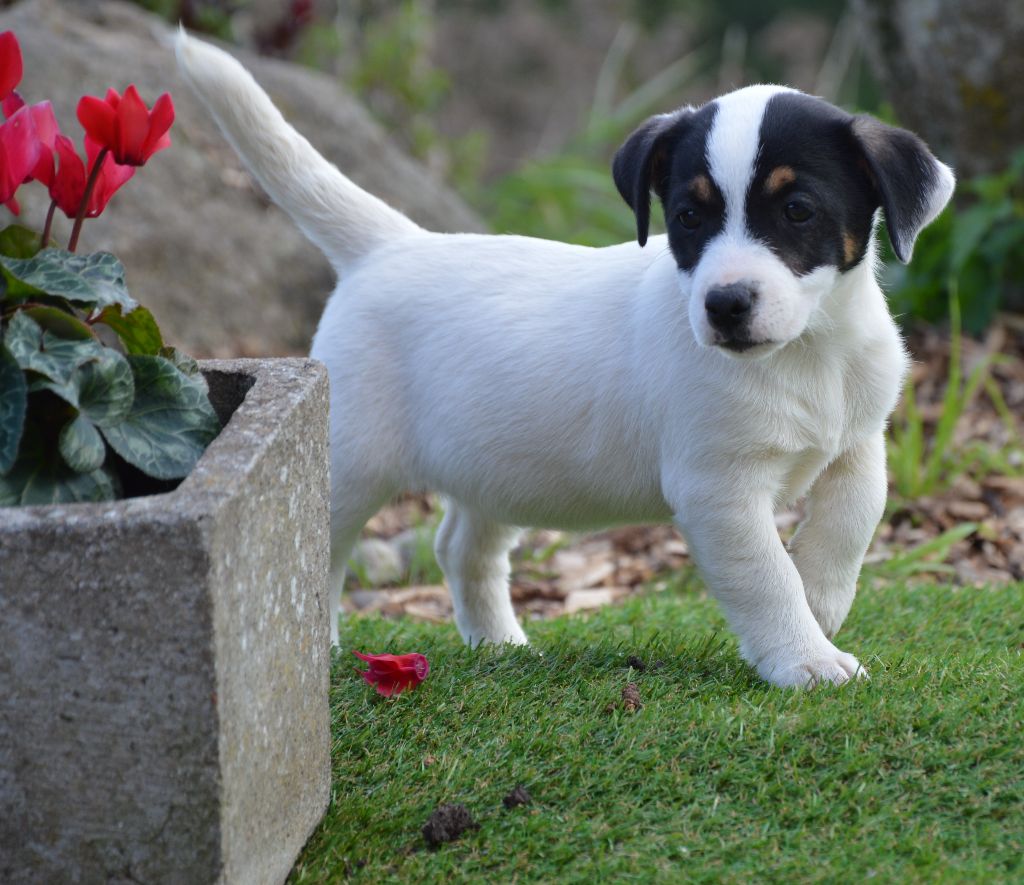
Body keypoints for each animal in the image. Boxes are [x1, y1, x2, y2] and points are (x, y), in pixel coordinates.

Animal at [176, 32, 950, 684]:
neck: (807, 353)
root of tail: (391, 247)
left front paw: (822, 609)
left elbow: (851, 524)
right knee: (322, 553)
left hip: (496, 465)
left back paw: (499, 645)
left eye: (797, 210)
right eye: (689, 216)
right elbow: (767, 575)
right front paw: (804, 658)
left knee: (461, 546)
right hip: (352, 463)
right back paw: (327, 654)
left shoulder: (858, 444)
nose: (725, 304)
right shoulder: (719, 490)